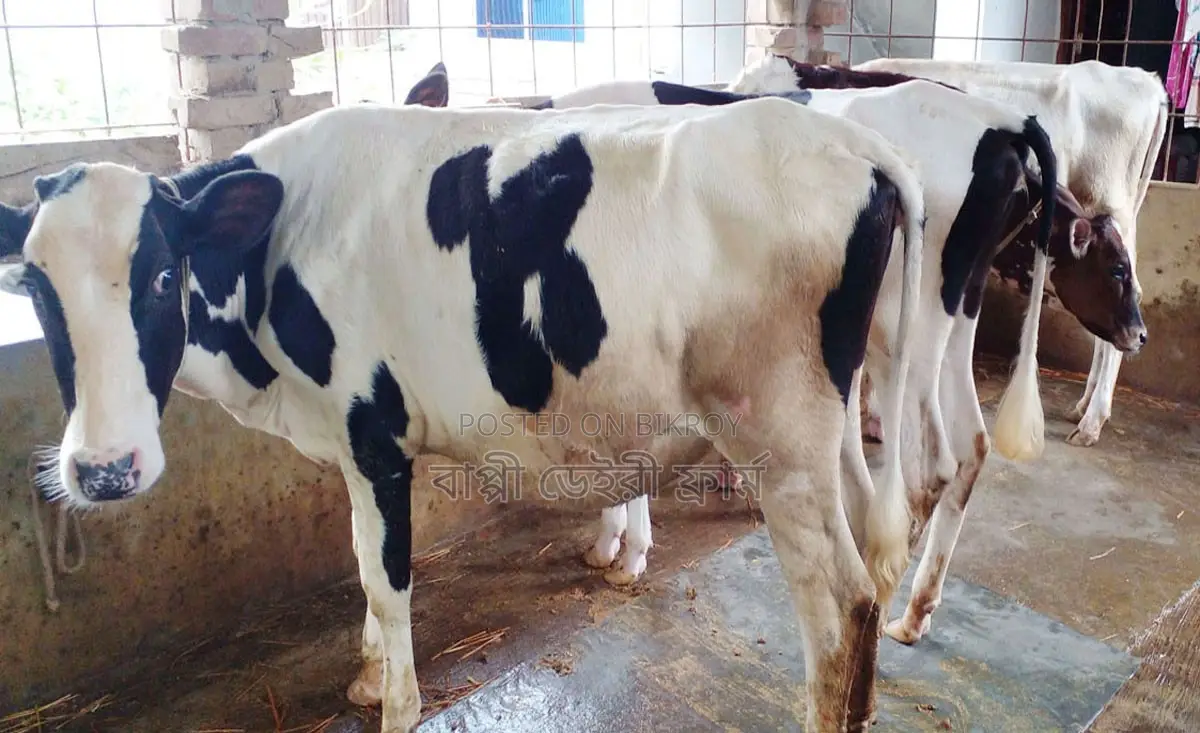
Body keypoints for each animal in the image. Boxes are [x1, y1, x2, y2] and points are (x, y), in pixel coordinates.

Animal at [0, 87, 927, 731]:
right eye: (35, 288)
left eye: (162, 275)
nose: (103, 470)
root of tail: (858, 142)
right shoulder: (346, 444)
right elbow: (361, 562)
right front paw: (369, 671)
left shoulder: (373, 432)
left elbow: (386, 575)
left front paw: (395, 702)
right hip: (831, 428)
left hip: (779, 437)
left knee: (843, 605)